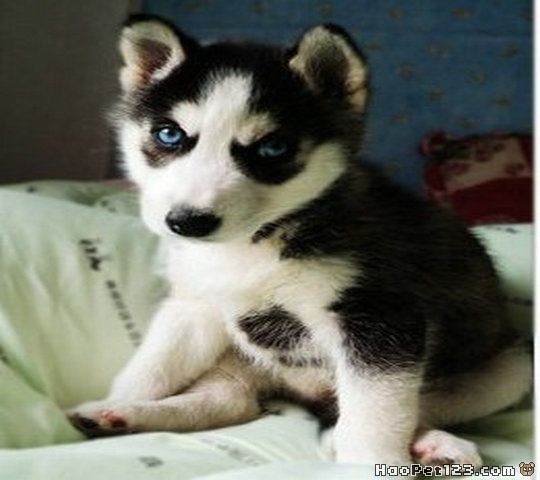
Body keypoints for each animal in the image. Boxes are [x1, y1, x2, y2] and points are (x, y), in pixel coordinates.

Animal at [69, 15, 532, 467]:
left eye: (273, 147)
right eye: (169, 135)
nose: (187, 222)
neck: (256, 243)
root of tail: (307, 394)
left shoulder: (381, 320)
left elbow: (376, 415)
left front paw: (371, 462)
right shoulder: (196, 305)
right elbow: (152, 367)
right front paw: (116, 401)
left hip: (511, 367)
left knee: (403, 409)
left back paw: (432, 443)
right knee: (229, 401)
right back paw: (119, 416)